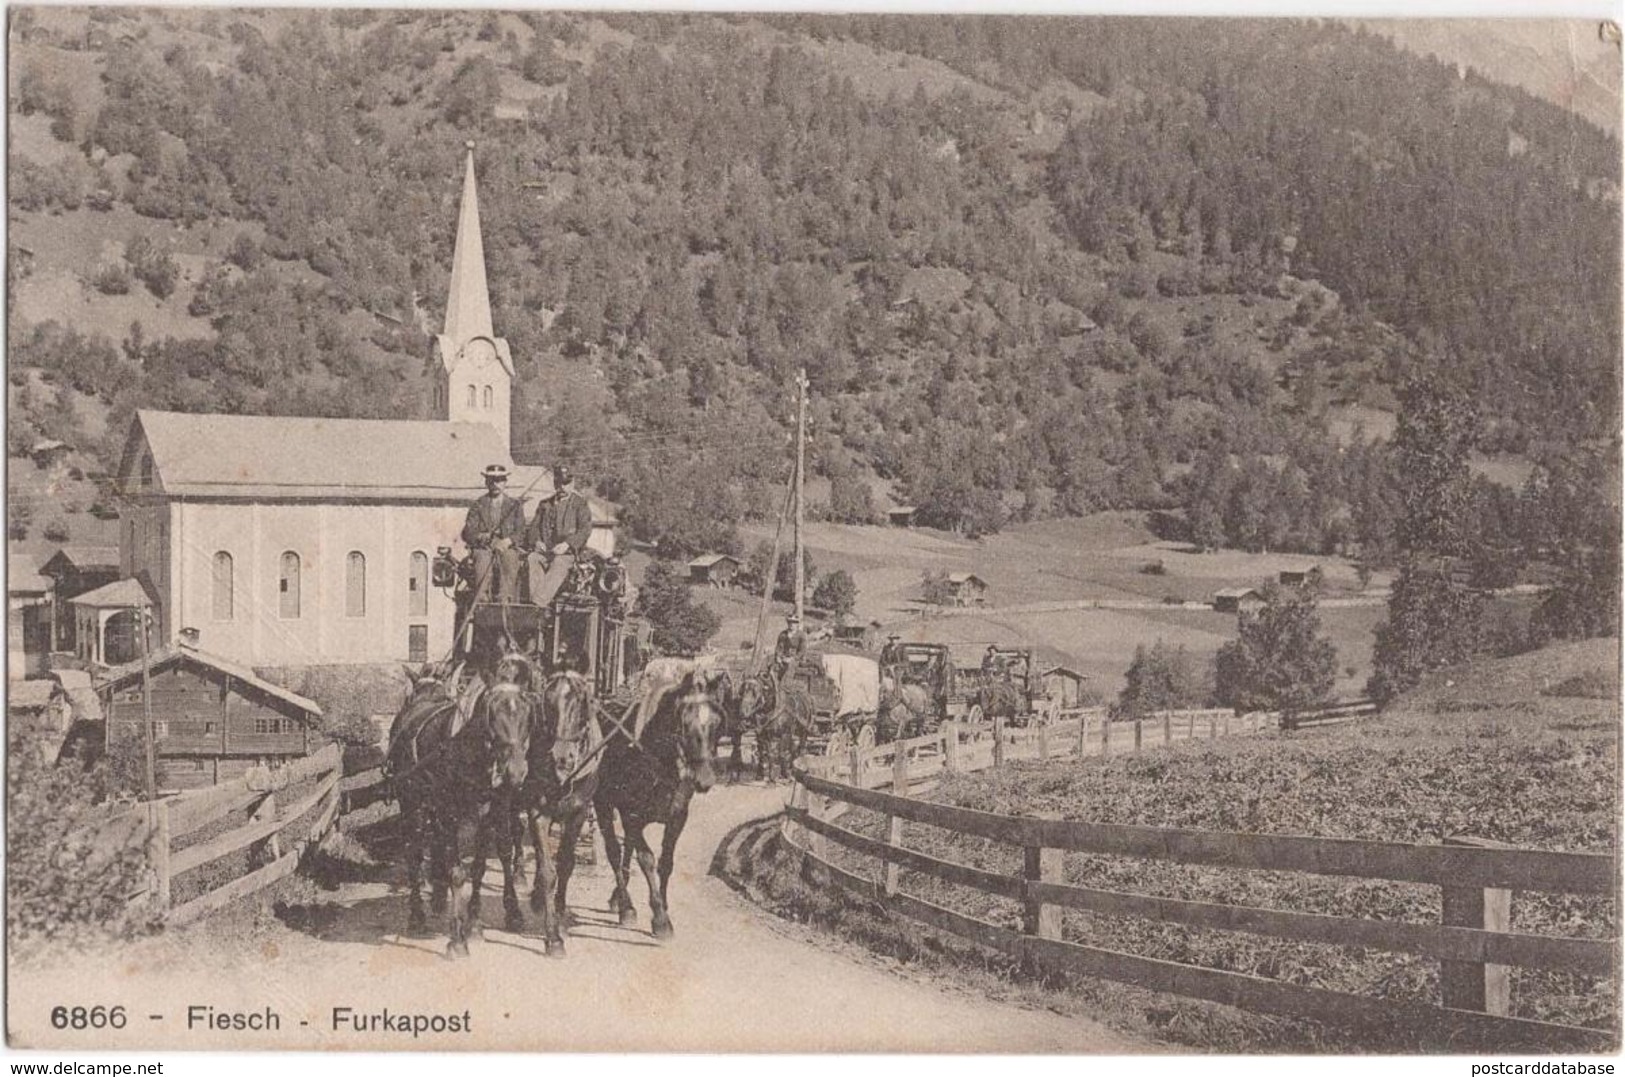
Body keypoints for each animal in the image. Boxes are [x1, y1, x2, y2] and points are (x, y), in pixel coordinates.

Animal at [386, 653, 533, 955]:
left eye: (526, 713)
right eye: (492, 713)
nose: (516, 771)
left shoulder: (491, 811)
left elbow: (483, 863)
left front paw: (478, 921)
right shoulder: (447, 813)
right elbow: (457, 871)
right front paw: (457, 937)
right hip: (411, 804)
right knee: (414, 852)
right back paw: (417, 914)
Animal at [594, 669, 728, 942]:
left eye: (716, 723)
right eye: (684, 723)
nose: (705, 779)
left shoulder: (677, 817)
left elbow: (666, 862)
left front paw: (664, 906)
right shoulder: (632, 815)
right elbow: (647, 859)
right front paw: (660, 919)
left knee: (627, 848)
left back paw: (617, 898)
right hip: (602, 804)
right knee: (614, 851)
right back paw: (625, 906)